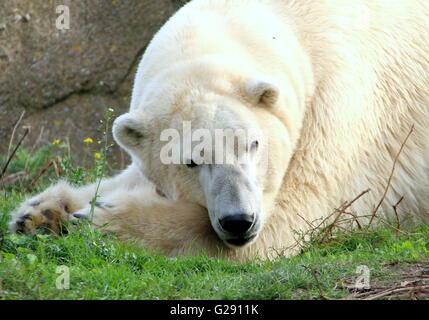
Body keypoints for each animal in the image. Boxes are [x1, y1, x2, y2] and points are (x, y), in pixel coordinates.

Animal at [9, 0, 428, 262]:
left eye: (252, 144)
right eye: (191, 161)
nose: (239, 221)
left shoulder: (338, 103)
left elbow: (288, 216)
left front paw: (104, 221)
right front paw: (41, 212)